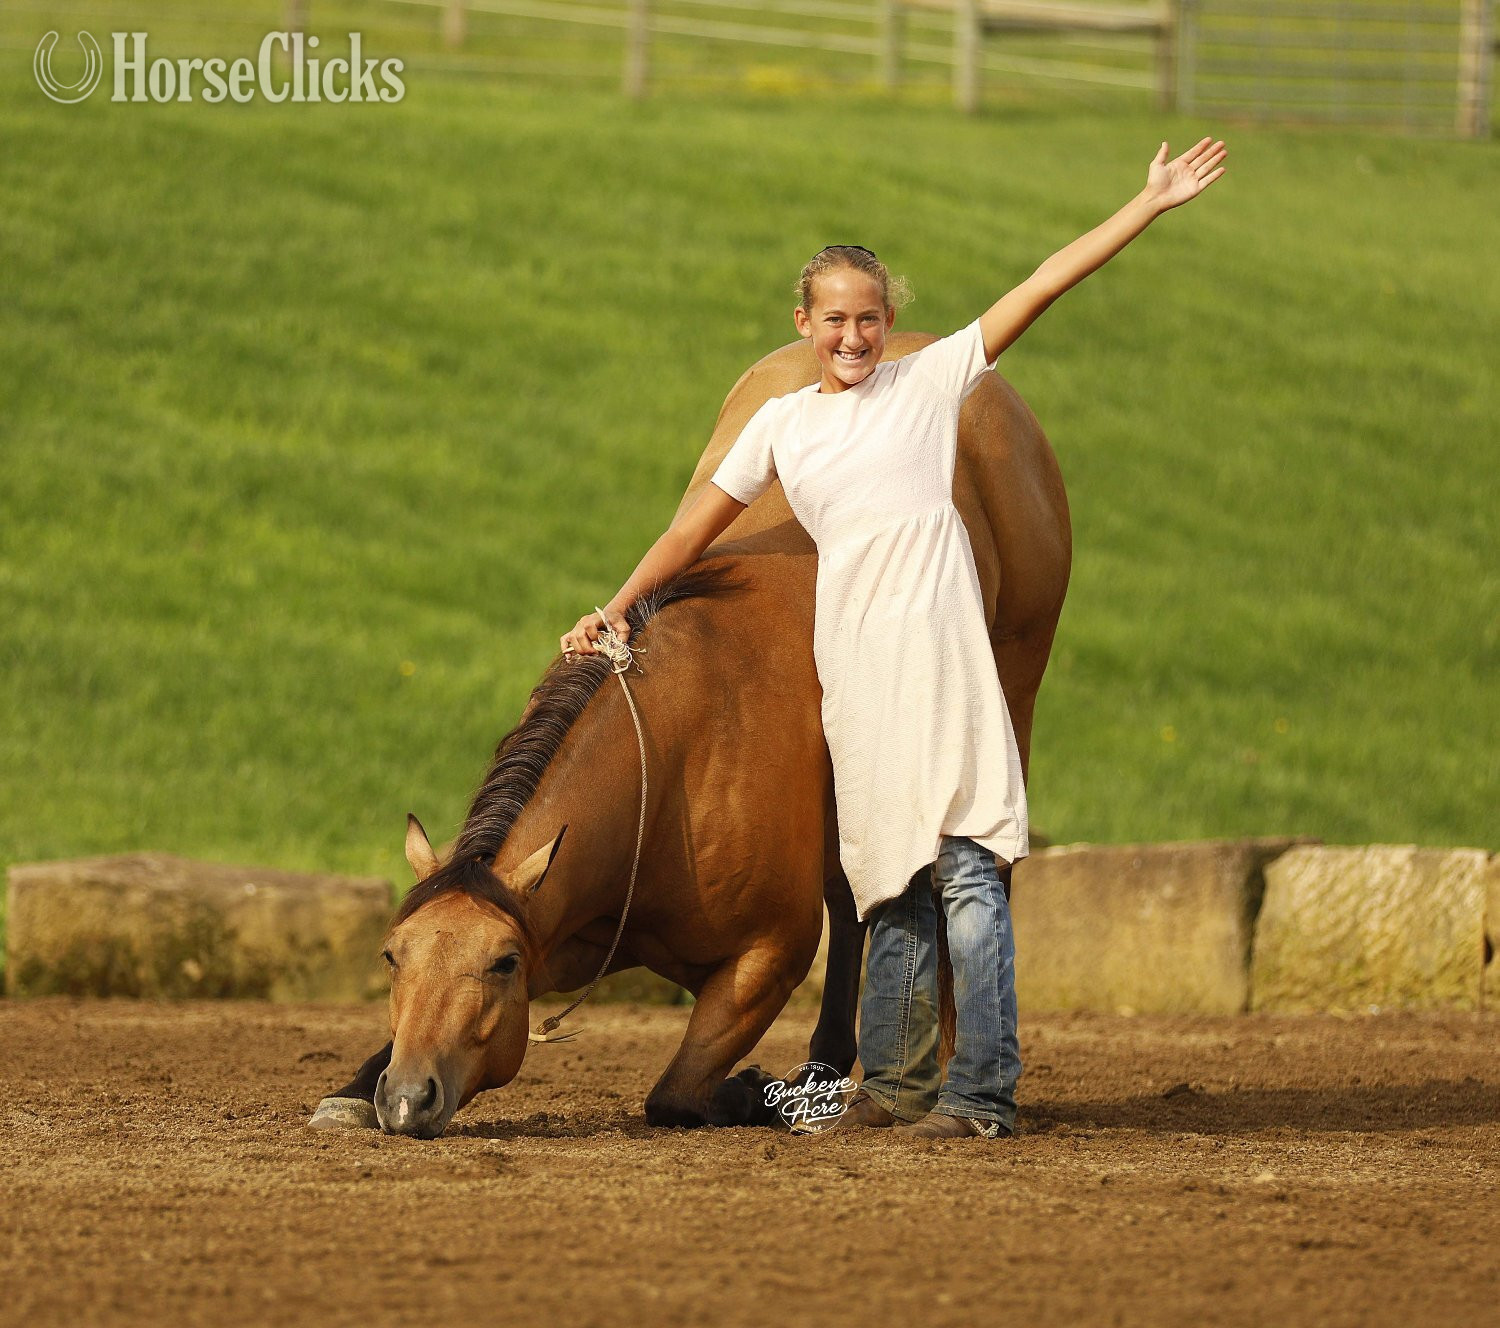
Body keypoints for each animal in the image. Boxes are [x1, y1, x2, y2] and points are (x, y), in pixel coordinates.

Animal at [310, 329, 1071, 1138]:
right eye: (392, 955)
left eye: (502, 963)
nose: (408, 1097)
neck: (672, 768)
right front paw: (354, 1088)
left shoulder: (767, 954)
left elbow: (674, 1093)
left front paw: (754, 1092)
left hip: (1008, 699)